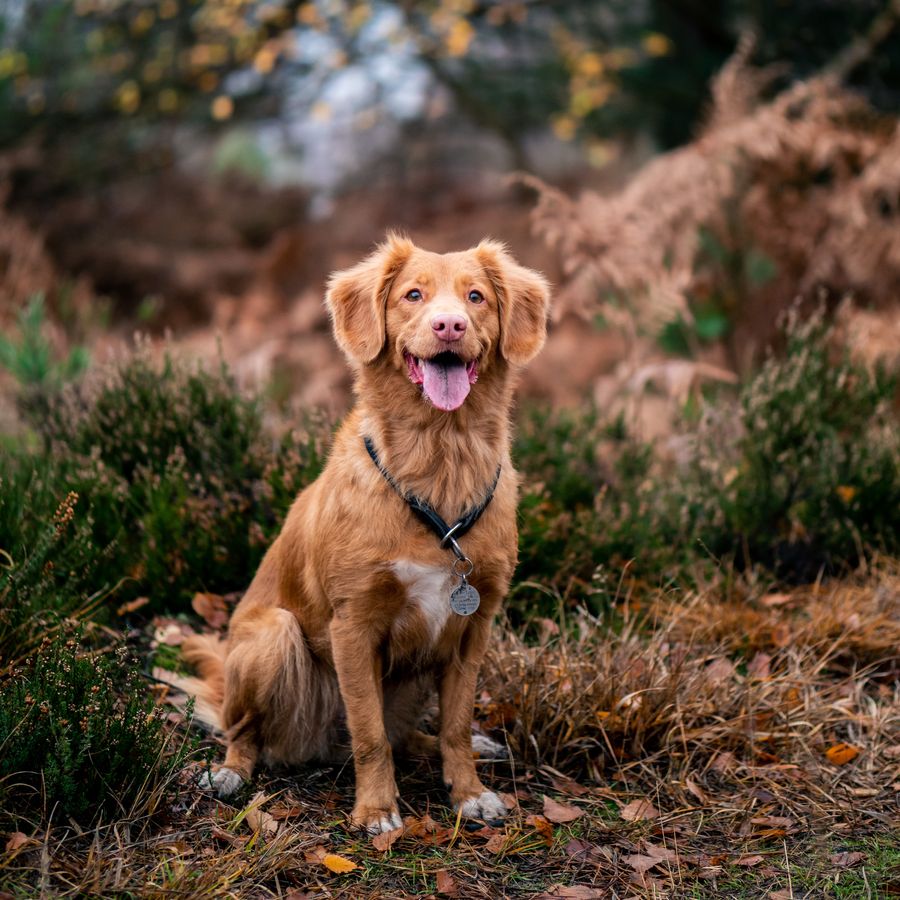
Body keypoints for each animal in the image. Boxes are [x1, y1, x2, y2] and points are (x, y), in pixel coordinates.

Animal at [180, 236, 552, 832]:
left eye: (475, 296)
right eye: (413, 295)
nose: (449, 325)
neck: (440, 456)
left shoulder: (473, 628)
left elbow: (452, 725)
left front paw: (469, 793)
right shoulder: (353, 625)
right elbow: (370, 734)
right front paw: (377, 809)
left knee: (411, 736)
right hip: (274, 638)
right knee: (248, 733)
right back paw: (231, 773)